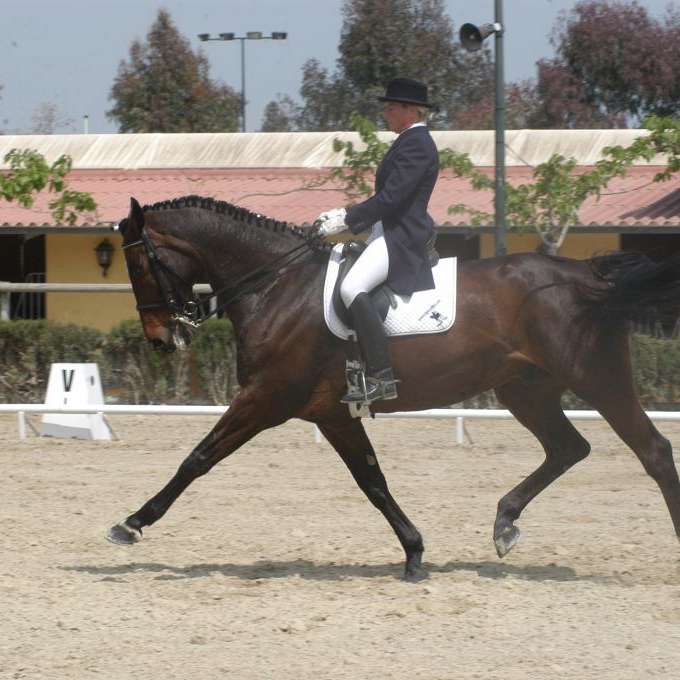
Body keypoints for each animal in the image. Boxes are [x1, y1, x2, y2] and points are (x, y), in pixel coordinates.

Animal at [109, 194, 680, 580]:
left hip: (597, 378)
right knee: (568, 448)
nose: (160, 339)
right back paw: (504, 523)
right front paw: (414, 552)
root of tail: (587, 274)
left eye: (137, 263)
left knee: (653, 450)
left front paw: (131, 524)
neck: (277, 287)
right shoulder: (333, 413)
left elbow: (197, 459)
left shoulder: (265, 398)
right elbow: (373, 482)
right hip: (526, 390)